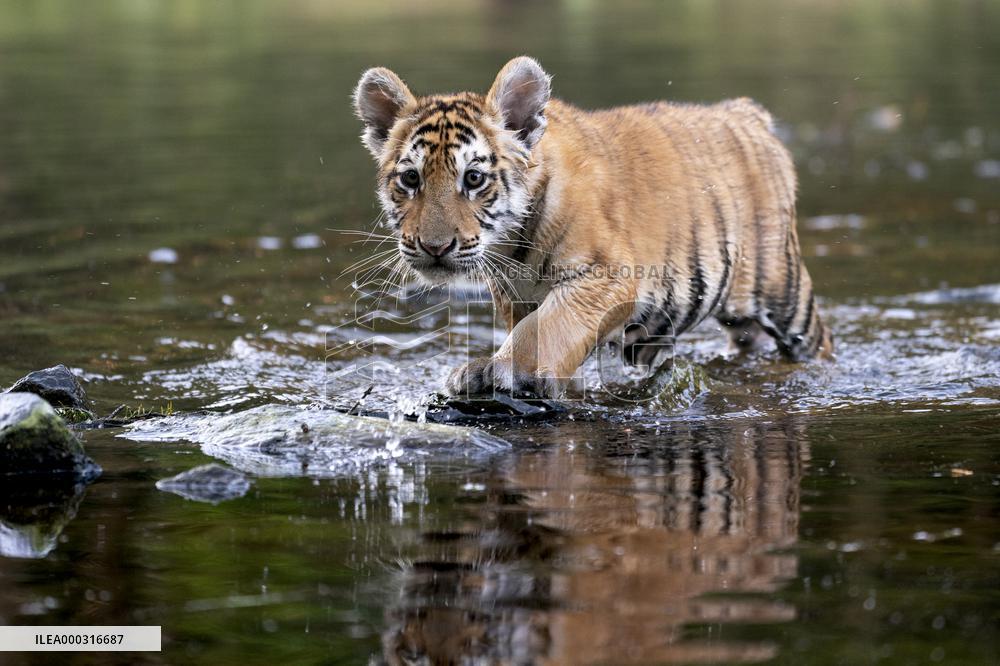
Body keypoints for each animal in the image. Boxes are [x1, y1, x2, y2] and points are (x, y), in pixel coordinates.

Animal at [352, 56, 833, 398]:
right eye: (410, 179)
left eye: (473, 179)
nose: (434, 247)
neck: (509, 249)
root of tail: (745, 111)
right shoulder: (514, 296)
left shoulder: (609, 277)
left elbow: (546, 326)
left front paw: (497, 369)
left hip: (785, 291)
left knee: (816, 341)